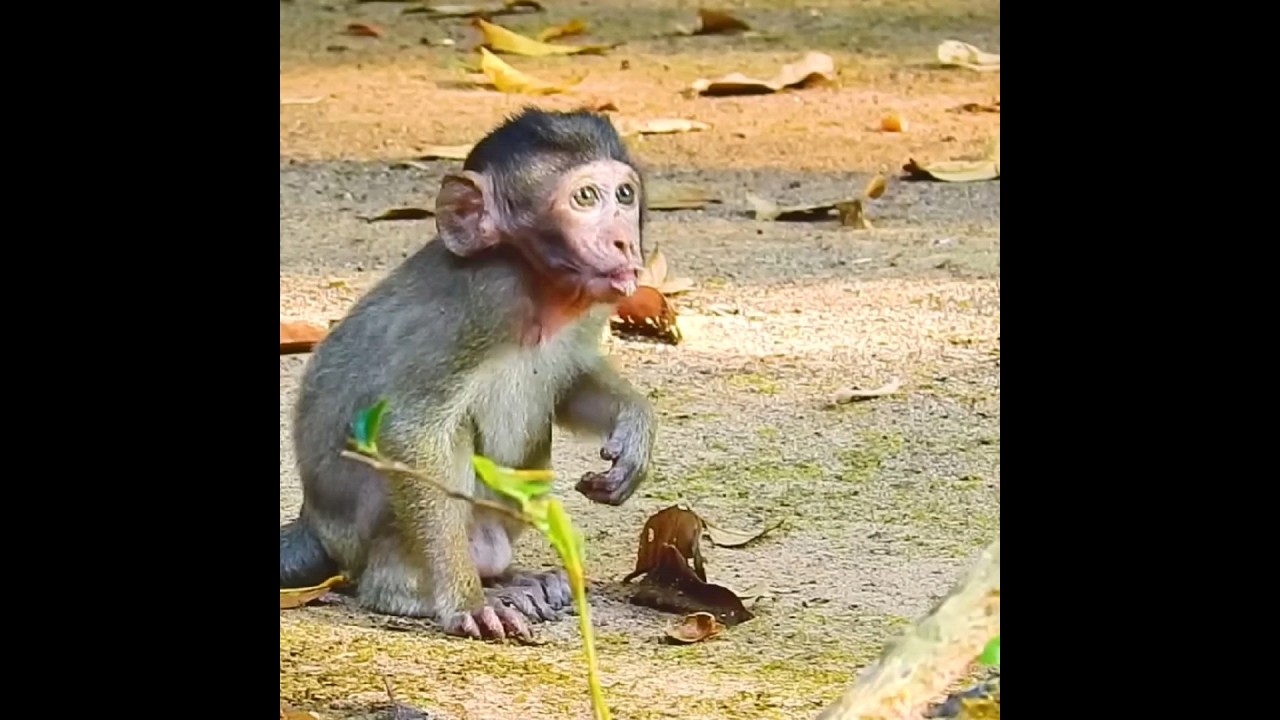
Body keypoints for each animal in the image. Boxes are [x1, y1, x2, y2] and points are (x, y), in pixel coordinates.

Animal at [279, 108, 657, 642]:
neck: (537, 287)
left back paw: (510, 575)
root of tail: (312, 521)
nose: (625, 241)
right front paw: (465, 603)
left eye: (624, 195)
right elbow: (410, 433)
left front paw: (634, 431)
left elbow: (571, 385)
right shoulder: (484, 303)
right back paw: (415, 589)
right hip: (360, 533)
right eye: (585, 198)